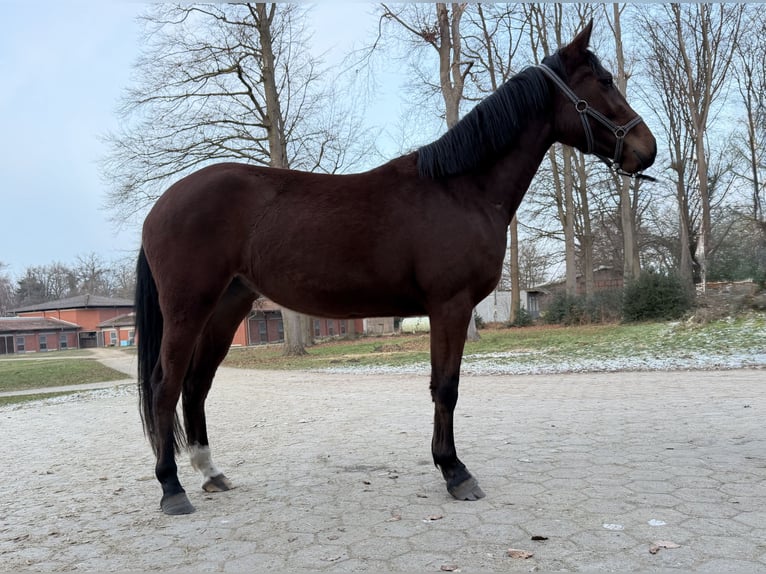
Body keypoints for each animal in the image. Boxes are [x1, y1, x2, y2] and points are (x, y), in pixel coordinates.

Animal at [135, 21, 656, 515]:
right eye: (604, 81)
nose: (646, 148)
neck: (460, 190)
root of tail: (162, 204)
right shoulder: (450, 305)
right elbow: (446, 388)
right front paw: (455, 473)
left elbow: (441, 385)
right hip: (188, 308)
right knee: (165, 386)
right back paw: (172, 489)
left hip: (228, 306)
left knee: (196, 385)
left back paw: (211, 472)